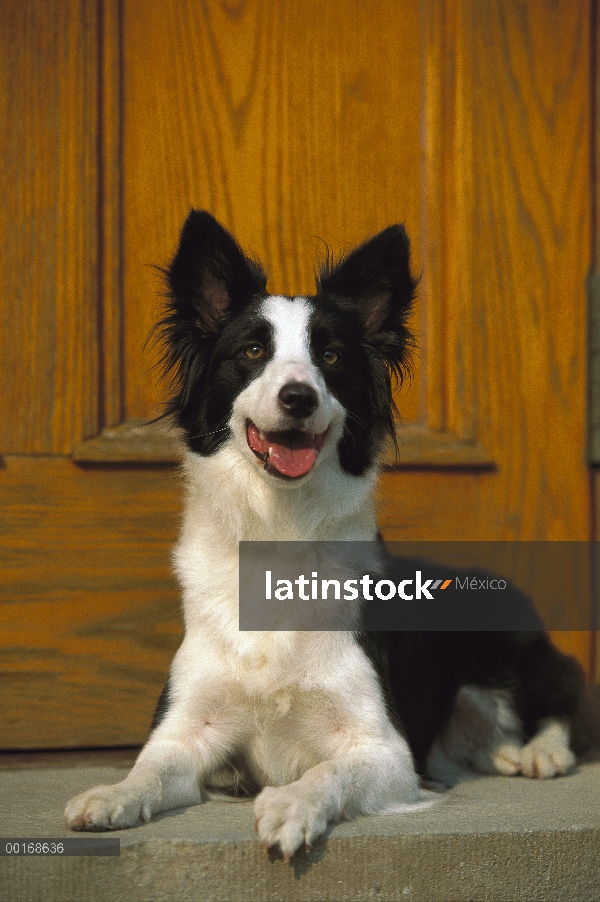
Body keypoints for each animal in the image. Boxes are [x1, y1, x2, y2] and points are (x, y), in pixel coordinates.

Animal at [67, 212, 584, 860]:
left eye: (331, 355)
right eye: (253, 350)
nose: (298, 396)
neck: (278, 530)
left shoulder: (384, 749)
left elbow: (328, 771)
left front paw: (290, 805)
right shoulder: (188, 727)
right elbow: (151, 769)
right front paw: (110, 795)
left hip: (501, 638)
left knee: (563, 688)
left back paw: (543, 751)